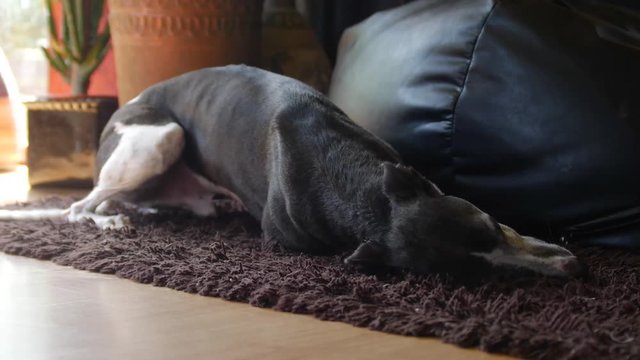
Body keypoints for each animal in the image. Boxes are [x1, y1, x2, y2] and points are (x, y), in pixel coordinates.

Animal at [0, 64, 584, 278]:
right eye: (473, 274)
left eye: (489, 224)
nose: (574, 268)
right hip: (158, 137)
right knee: (79, 206)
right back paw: (108, 221)